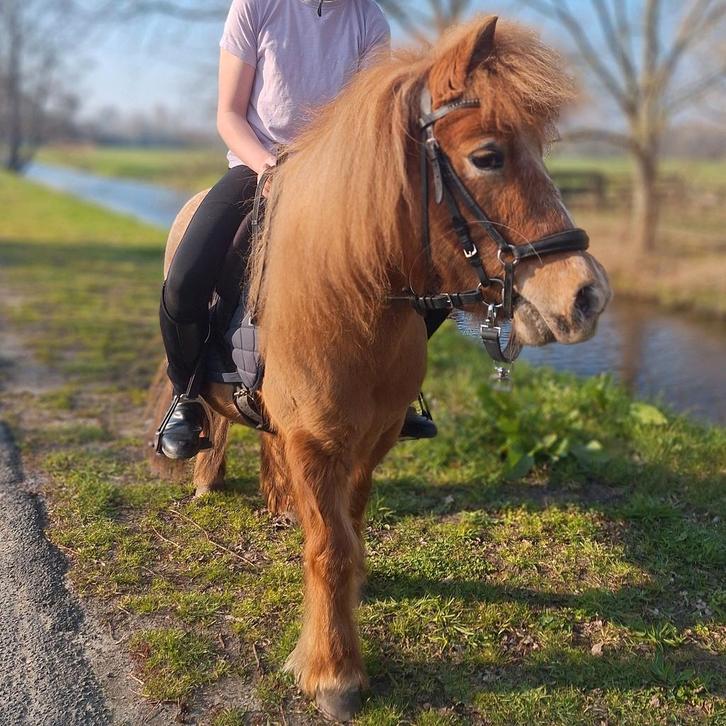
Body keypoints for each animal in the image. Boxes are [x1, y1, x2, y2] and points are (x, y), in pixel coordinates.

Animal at [146, 16, 611, 721]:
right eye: (487, 156)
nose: (587, 296)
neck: (349, 295)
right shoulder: (316, 441)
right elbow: (330, 548)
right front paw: (333, 672)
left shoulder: (375, 435)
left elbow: (352, 519)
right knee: (210, 410)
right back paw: (201, 465)